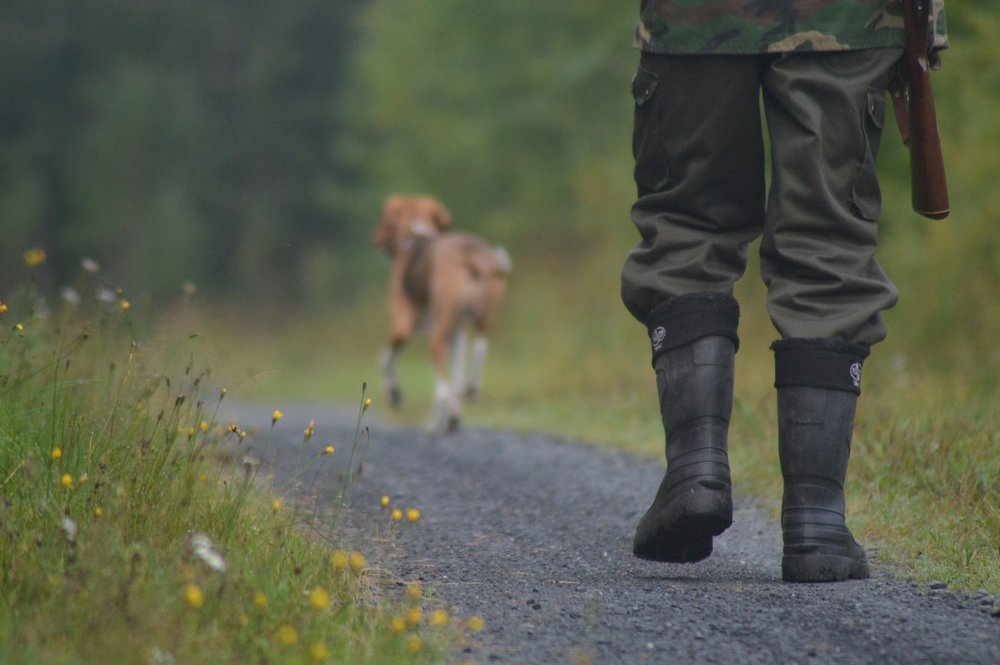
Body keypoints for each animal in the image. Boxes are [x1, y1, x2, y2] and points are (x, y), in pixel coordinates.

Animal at [376, 193, 516, 430]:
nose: (376, 238)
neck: (415, 236)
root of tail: (470, 254)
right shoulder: (458, 332)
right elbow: (456, 376)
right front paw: (453, 416)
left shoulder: (402, 325)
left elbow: (385, 359)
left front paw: (395, 395)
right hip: (482, 318)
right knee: (480, 350)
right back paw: (471, 388)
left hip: (436, 333)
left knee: (441, 388)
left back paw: (434, 425)